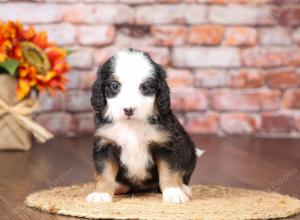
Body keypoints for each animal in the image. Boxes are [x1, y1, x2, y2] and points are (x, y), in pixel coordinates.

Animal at [85, 49, 202, 204]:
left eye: (145, 87)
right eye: (115, 86)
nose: (128, 110)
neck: (132, 124)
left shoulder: (166, 145)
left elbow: (169, 172)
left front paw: (174, 193)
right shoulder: (106, 144)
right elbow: (104, 172)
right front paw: (101, 194)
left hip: (189, 151)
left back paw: (184, 188)